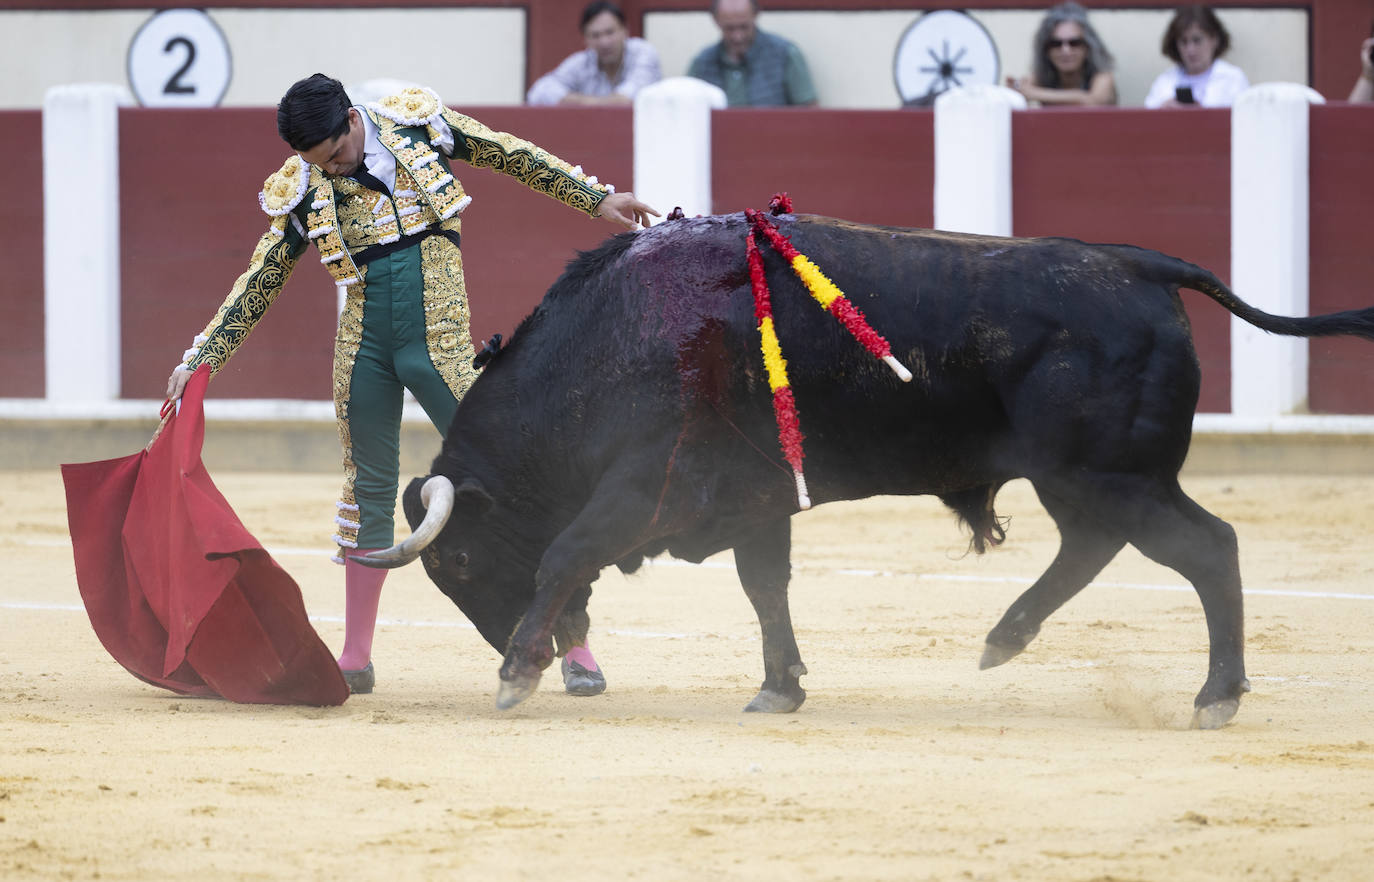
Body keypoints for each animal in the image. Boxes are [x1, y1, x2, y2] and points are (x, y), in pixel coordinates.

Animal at [357, 208, 1374, 725]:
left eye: (455, 561)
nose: (531, 648)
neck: (615, 336)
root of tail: (1141, 262)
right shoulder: (754, 498)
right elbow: (765, 586)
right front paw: (780, 688)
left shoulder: (646, 487)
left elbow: (567, 552)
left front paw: (515, 674)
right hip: (1087, 480)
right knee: (1097, 548)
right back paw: (1005, 639)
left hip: (1113, 475)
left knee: (1209, 549)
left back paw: (1214, 696)